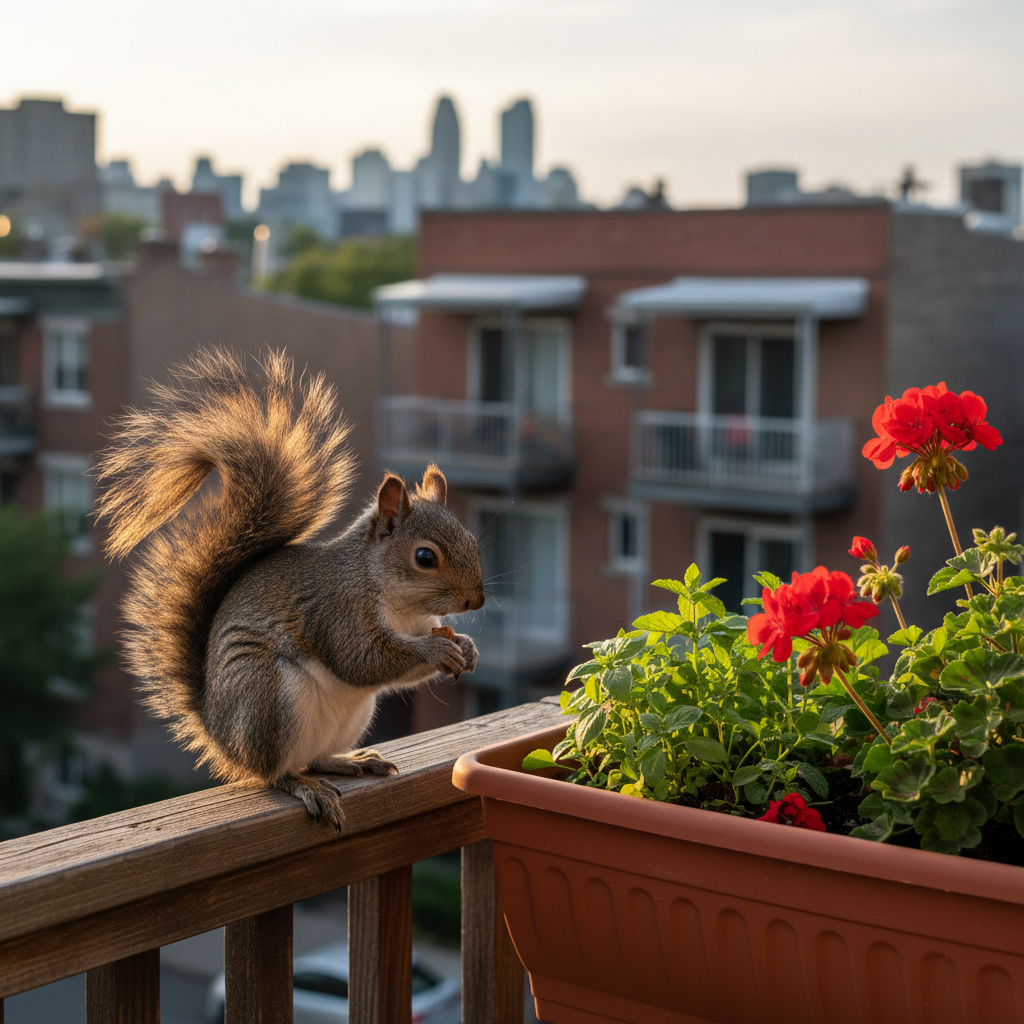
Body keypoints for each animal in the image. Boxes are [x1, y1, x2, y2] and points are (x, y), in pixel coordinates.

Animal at [95, 348, 485, 830]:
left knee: (314, 758)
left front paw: (465, 646)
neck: (399, 603)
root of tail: (220, 733)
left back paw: (350, 762)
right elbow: (362, 660)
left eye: (472, 540)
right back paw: (303, 786)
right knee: (273, 772)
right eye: (425, 557)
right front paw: (436, 651)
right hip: (267, 696)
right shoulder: (337, 609)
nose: (476, 600)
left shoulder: (422, 619)